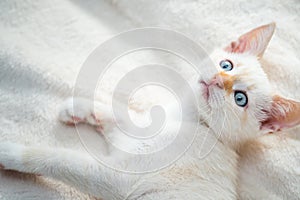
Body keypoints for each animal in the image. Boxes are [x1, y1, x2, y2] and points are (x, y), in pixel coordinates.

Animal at [0, 22, 298, 199]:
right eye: (227, 65)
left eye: (240, 99)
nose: (217, 79)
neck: (187, 120)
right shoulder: (132, 133)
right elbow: (119, 113)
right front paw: (77, 107)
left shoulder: (117, 179)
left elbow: (57, 159)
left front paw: (11, 153)